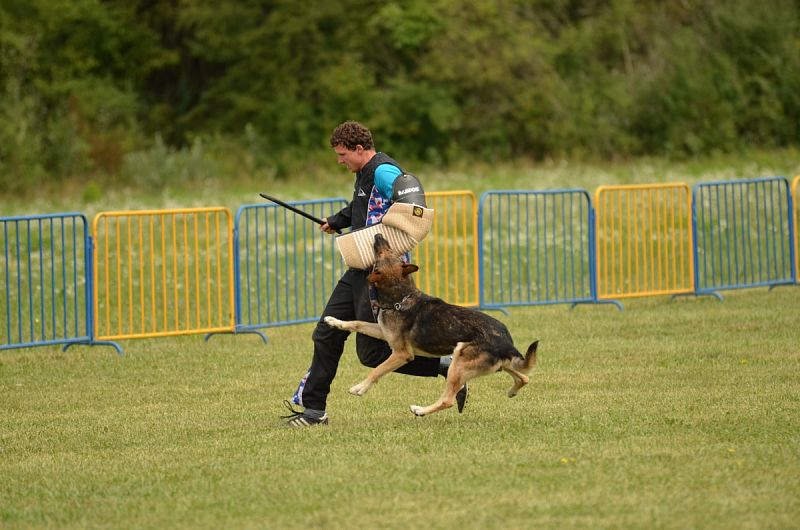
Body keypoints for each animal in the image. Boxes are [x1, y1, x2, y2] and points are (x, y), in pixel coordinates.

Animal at [324, 233, 536, 414]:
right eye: (391, 251)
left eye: (385, 252)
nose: (378, 235)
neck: (400, 298)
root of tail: (507, 344)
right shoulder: (384, 332)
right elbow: (357, 323)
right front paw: (334, 321)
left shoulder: (401, 354)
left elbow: (377, 370)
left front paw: (359, 388)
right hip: (495, 364)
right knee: (524, 377)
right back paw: (512, 391)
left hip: (461, 357)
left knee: (447, 400)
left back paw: (420, 410)